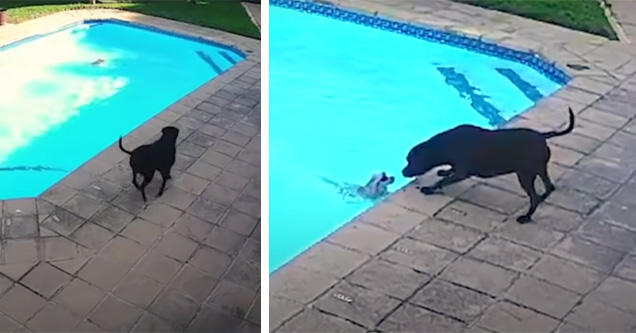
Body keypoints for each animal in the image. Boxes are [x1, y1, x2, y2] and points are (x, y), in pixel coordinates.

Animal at [402, 108, 576, 223]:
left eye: (411, 160)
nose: (403, 172)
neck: (445, 144)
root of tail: (542, 136)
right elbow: (448, 172)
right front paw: (444, 171)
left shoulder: (462, 173)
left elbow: (442, 181)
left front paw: (430, 189)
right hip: (539, 169)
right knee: (549, 187)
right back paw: (543, 197)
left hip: (525, 175)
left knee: (534, 198)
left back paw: (526, 217)